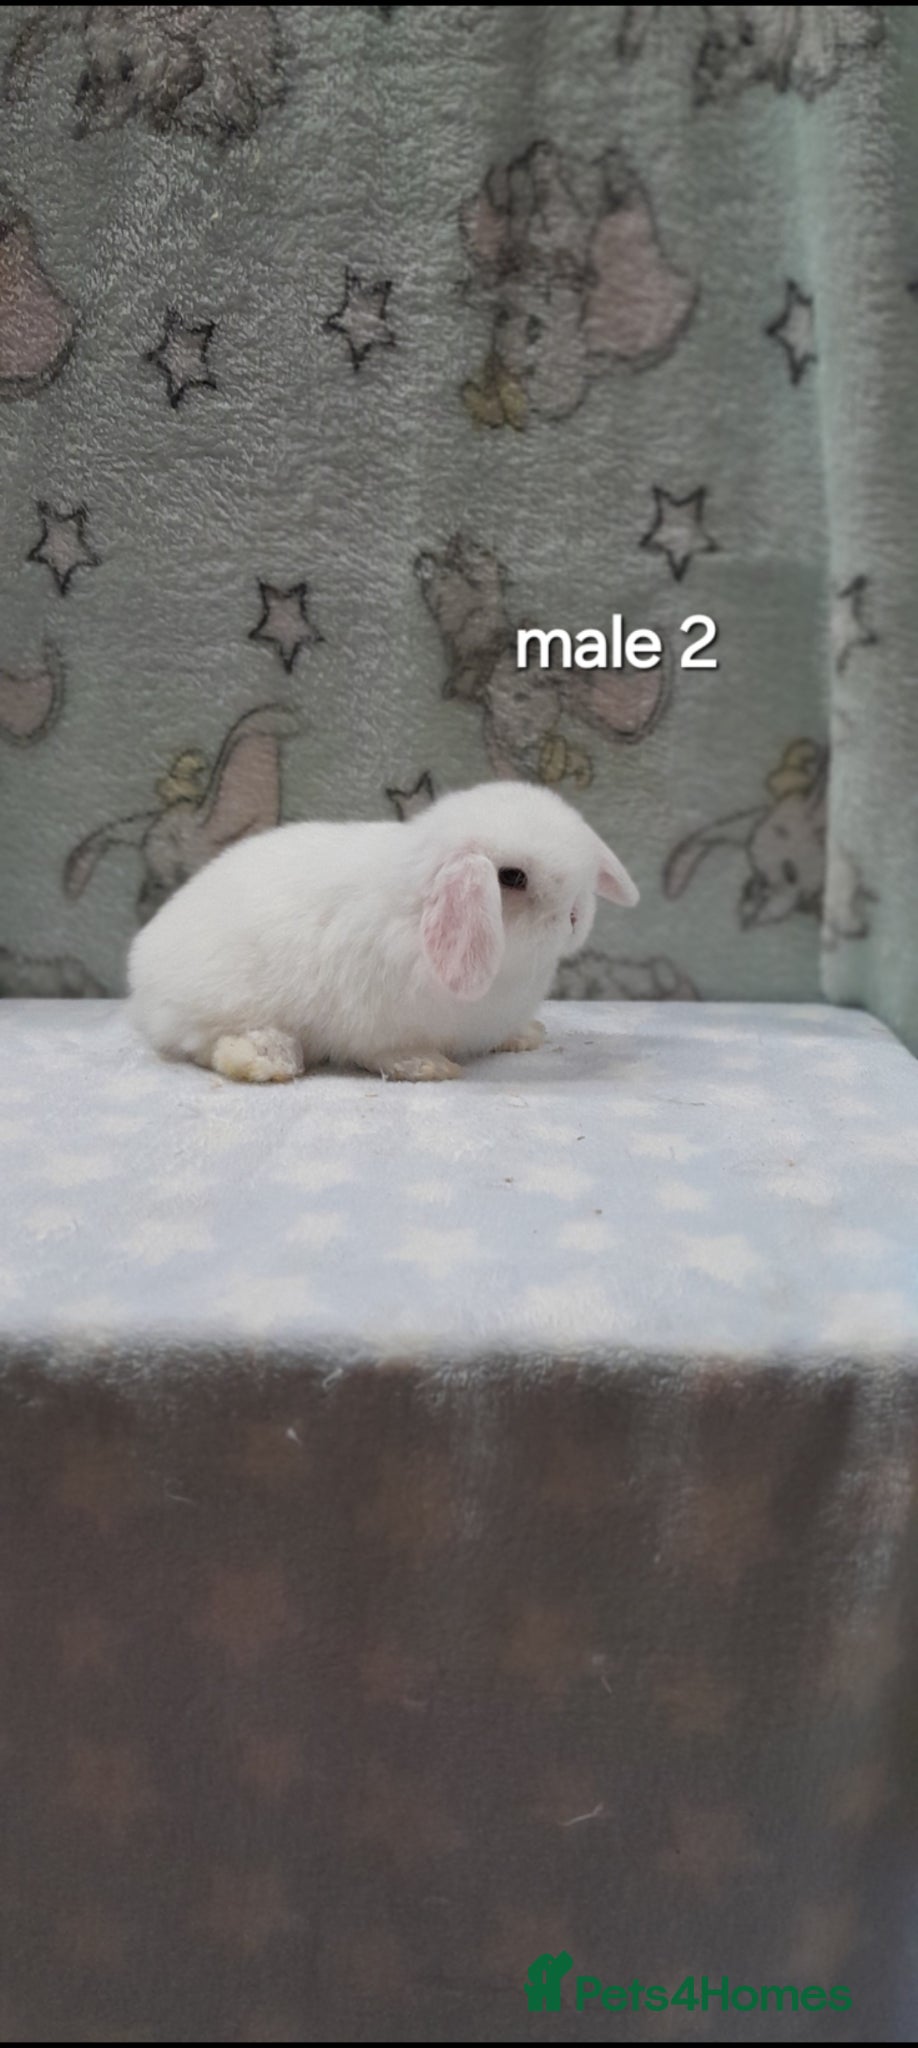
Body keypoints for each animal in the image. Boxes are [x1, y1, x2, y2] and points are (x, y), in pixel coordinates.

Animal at [128, 780, 639, 1084]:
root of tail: (142, 958)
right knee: (211, 1044)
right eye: (512, 877)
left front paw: (526, 1034)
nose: (575, 917)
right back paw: (267, 1058)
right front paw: (430, 1066)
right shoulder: (379, 1026)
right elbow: (389, 1052)